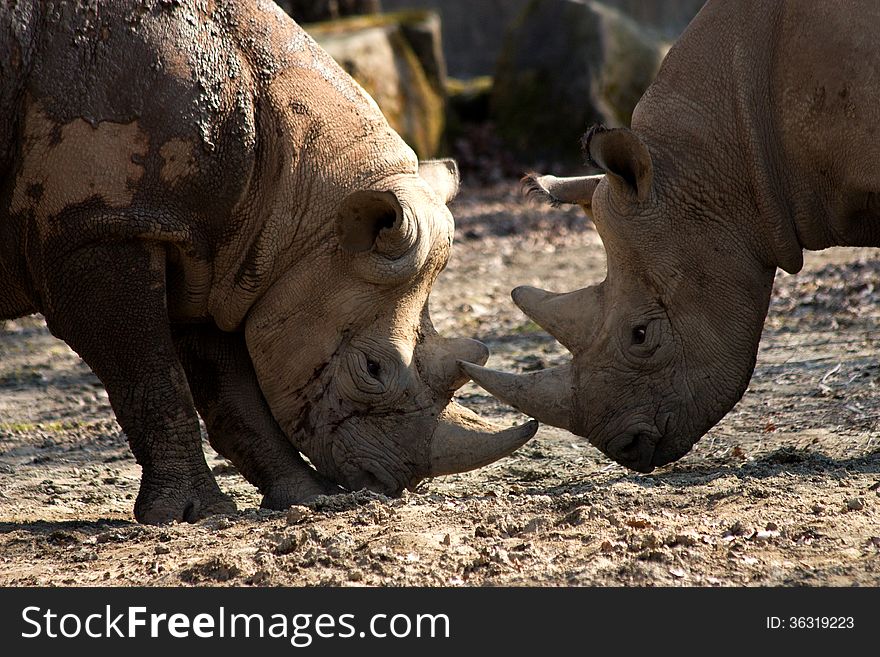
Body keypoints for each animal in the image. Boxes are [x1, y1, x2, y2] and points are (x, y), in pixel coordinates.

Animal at [0, 0, 536, 524]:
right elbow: (152, 377)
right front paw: (192, 514)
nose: (400, 482)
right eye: (372, 369)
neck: (294, 193)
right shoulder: (99, 227)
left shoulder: (214, 260)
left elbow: (231, 390)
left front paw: (306, 497)